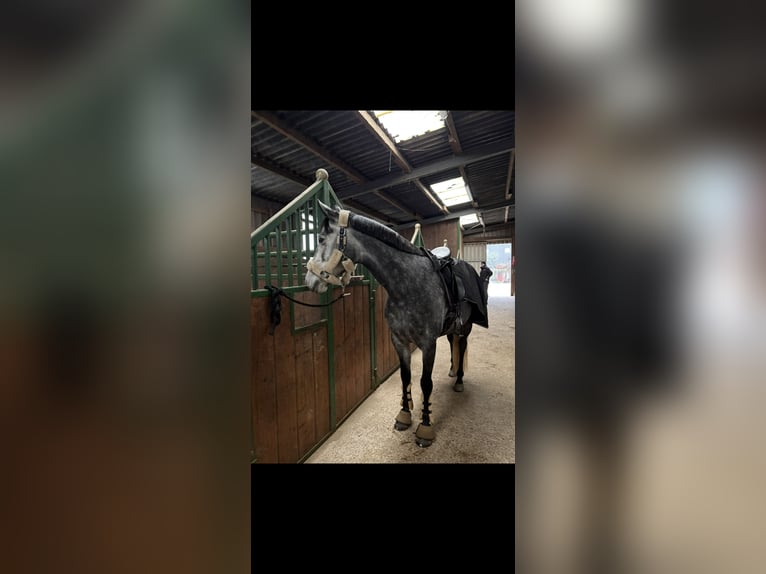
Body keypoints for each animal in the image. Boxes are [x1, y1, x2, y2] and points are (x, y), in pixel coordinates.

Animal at [304, 201, 488, 447]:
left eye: (321, 238)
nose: (309, 281)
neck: (408, 284)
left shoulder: (428, 344)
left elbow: (425, 383)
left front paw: (425, 427)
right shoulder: (398, 340)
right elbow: (405, 377)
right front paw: (404, 415)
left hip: (466, 327)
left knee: (463, 345)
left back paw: (459, 380)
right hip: (452, 328)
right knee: (453, 344)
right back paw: (451, 370)